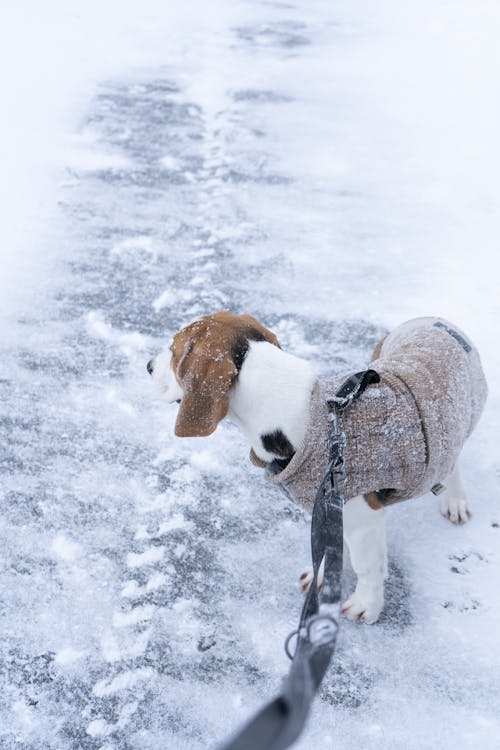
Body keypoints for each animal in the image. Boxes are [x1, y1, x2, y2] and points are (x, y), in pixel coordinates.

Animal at [146, 312, 486, 624]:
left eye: (174, 351)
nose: (148, 365)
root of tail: (435, 320)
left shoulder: (364, 518)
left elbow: (368, 566)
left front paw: (367, 604)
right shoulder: (323, 506)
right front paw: (320, 576)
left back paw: (455, 500)